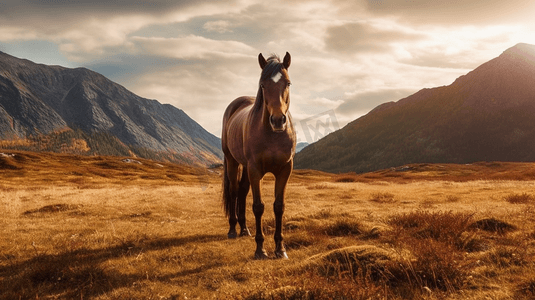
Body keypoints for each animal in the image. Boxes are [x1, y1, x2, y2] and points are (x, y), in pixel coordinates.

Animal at [222, 51, 298, 258]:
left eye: (288, 83)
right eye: (263, 85)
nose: (278, 120)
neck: (272, 135)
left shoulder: (285, 170)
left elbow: (279, 207)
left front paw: (280, 249)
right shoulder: (255, 170)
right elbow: (258, 206)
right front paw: (260, 249)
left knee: (241, 191)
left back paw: (244, 229)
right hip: (232, 161)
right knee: (233, 191)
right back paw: (233, 230)